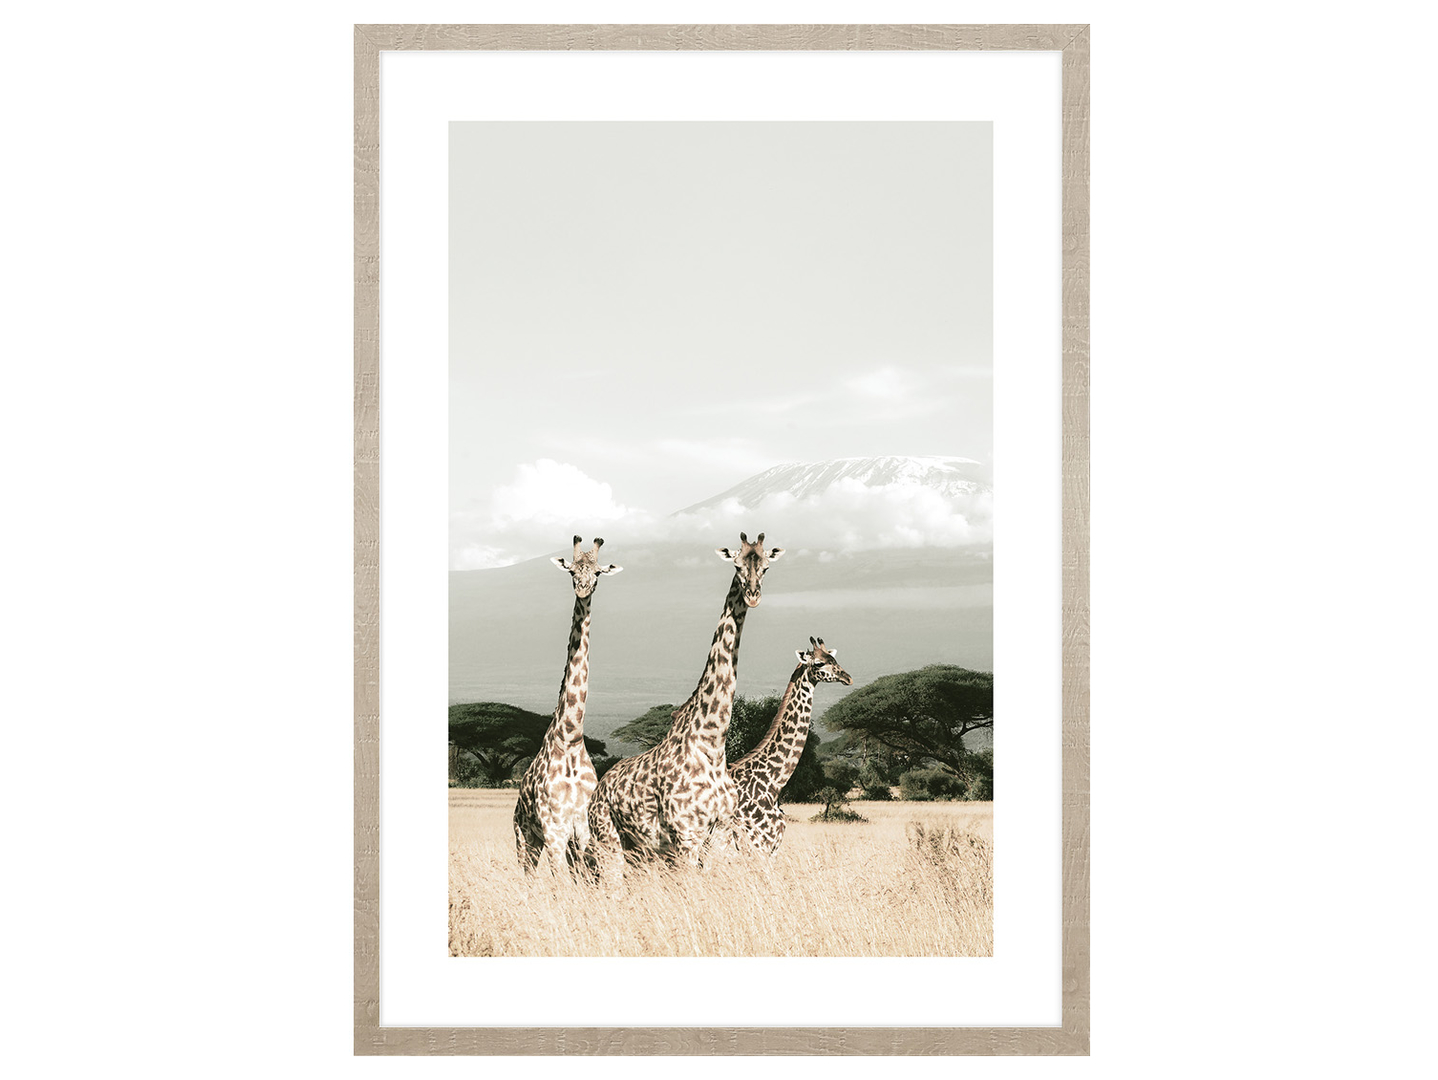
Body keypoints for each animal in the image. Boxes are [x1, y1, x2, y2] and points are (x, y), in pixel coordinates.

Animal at [512, 536, 622, 876]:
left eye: (597, 572)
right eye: (572, 570)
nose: (583, 589)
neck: (571, 737)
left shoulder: (582, 829)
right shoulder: (554, 829)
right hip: (525, 838)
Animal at [587, 532, 784, 882]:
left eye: (766, 567)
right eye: (737, 565)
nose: (752, 596)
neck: (712, 743)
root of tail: (599, 788)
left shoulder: (720, 833)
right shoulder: (687, 835)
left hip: (640, 850)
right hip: (608, 840)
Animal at [730, 637, 853, 856]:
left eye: (834, 659)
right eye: (819, 663)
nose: (847, 678)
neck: (773, 783)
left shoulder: (771, 848)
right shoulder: (758, 845)